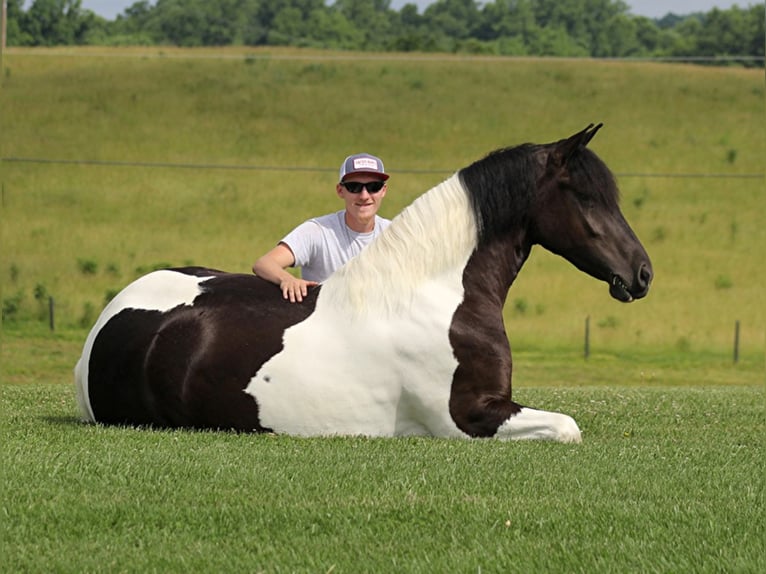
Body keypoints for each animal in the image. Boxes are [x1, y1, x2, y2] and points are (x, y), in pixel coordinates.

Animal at [75, 124, 656, 444]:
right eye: (585, 196)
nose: (642, 273)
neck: (436, 295)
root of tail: (107, 321)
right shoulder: (467, 419)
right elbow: (568, 426)